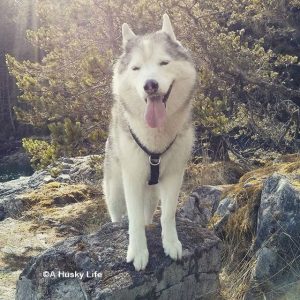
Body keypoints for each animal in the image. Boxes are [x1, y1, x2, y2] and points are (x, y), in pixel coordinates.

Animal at [103, 14, 197, 270]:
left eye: (163, 63)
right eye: (136, 68)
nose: (150, 85)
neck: (155, 140)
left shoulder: (174, 175)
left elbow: (168, 214)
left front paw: (171, 243)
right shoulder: (132, 179)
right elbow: (133, 220)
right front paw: (138, 251)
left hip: (152, 194)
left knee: (148, 212)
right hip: (115, 192)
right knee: (119, 214)